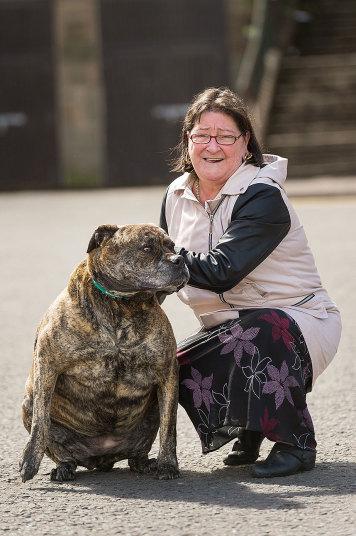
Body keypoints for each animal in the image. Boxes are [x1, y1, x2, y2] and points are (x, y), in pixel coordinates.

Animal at [18, 224, 189, 484]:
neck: (121, 305)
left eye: (171, 246)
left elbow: (169, 426)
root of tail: (103, 457)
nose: (180, 259)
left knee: (138, 454)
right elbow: (41, 420)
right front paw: (29, 462)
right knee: (60, 450)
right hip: (27, 405)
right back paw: (63, 468)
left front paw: (168, 464)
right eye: (147, 248)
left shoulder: (167, 372)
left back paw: (146, 463)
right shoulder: (47, 365)